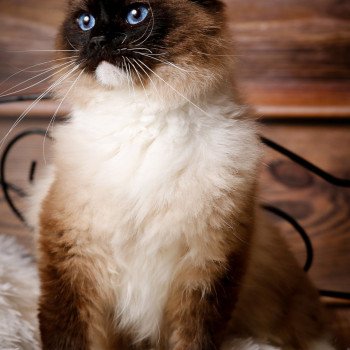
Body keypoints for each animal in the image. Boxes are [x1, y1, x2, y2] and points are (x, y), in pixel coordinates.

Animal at [27, 0, 334, 350]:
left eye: (137, 15)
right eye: (86, 21)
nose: (99, 40)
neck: (141, 123)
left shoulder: (208, 264)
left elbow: (195, 337)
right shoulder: (70, 255)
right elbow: (65, 333)